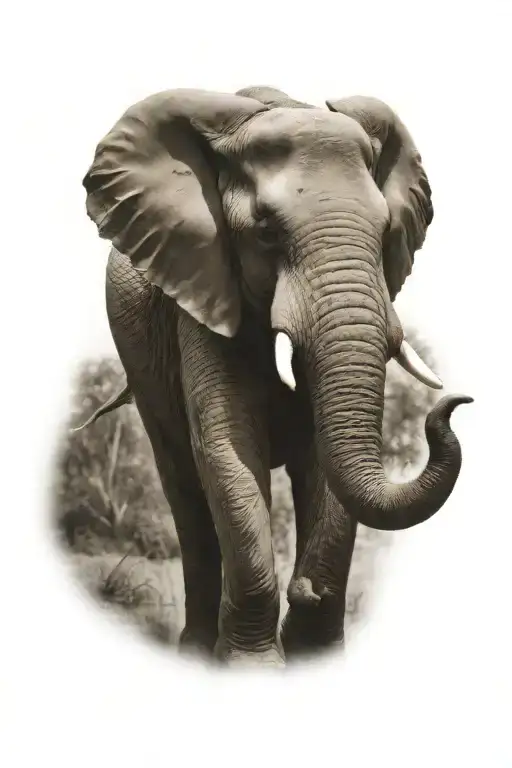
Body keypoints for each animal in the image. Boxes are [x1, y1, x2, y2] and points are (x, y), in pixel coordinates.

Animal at [80, 85, 472, 668]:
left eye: (386, 233)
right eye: (265, 232)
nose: (455, 405)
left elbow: (323, 460)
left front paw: (314, 653)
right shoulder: (202, 291)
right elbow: (226, 443)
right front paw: (252, 669)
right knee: (184, 489)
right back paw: (195, 652)